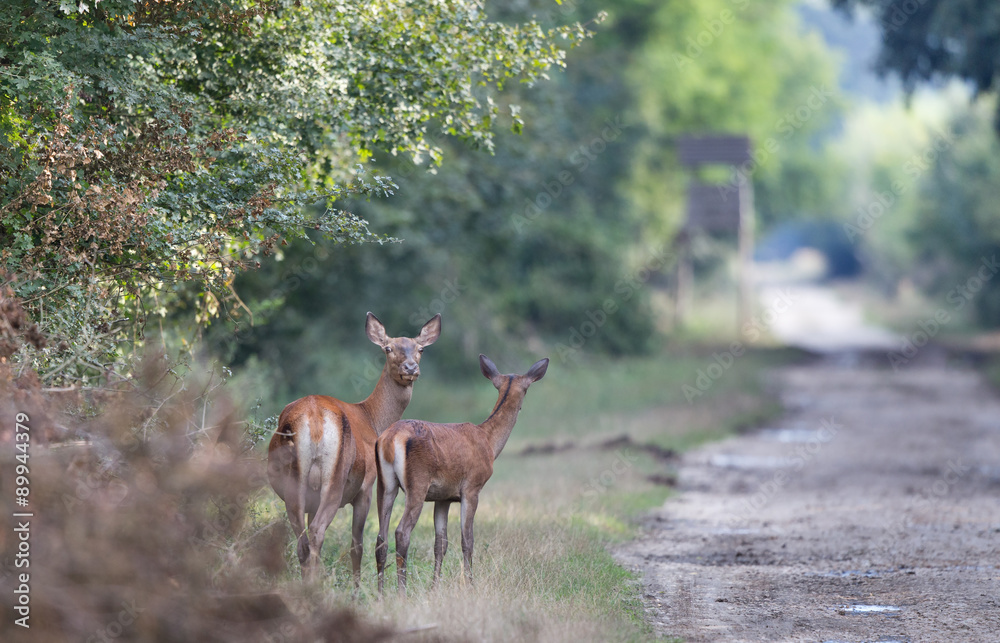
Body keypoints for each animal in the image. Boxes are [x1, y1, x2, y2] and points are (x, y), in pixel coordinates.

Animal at [267, 312, 441, 583]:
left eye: (420, 348)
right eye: (388, 348)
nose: (410, 368)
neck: (372, 418)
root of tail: (313, 420)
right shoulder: (366, 486)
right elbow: (357, 545)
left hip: (293, 485)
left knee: (301, 541)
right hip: (336, 478)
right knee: (317, 532)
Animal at [374, 354, 548, 596]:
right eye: (527, 388)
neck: (489, 442)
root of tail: (389, 439)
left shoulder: (443, 497)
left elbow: (441, 543)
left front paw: (434, 587)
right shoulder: (472, 488)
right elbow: (468, 540)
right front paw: (471, 585)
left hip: (385, 484)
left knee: (380, 537)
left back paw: (380, 594)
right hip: (417, 483)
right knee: (401, 532)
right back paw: (402, 592)